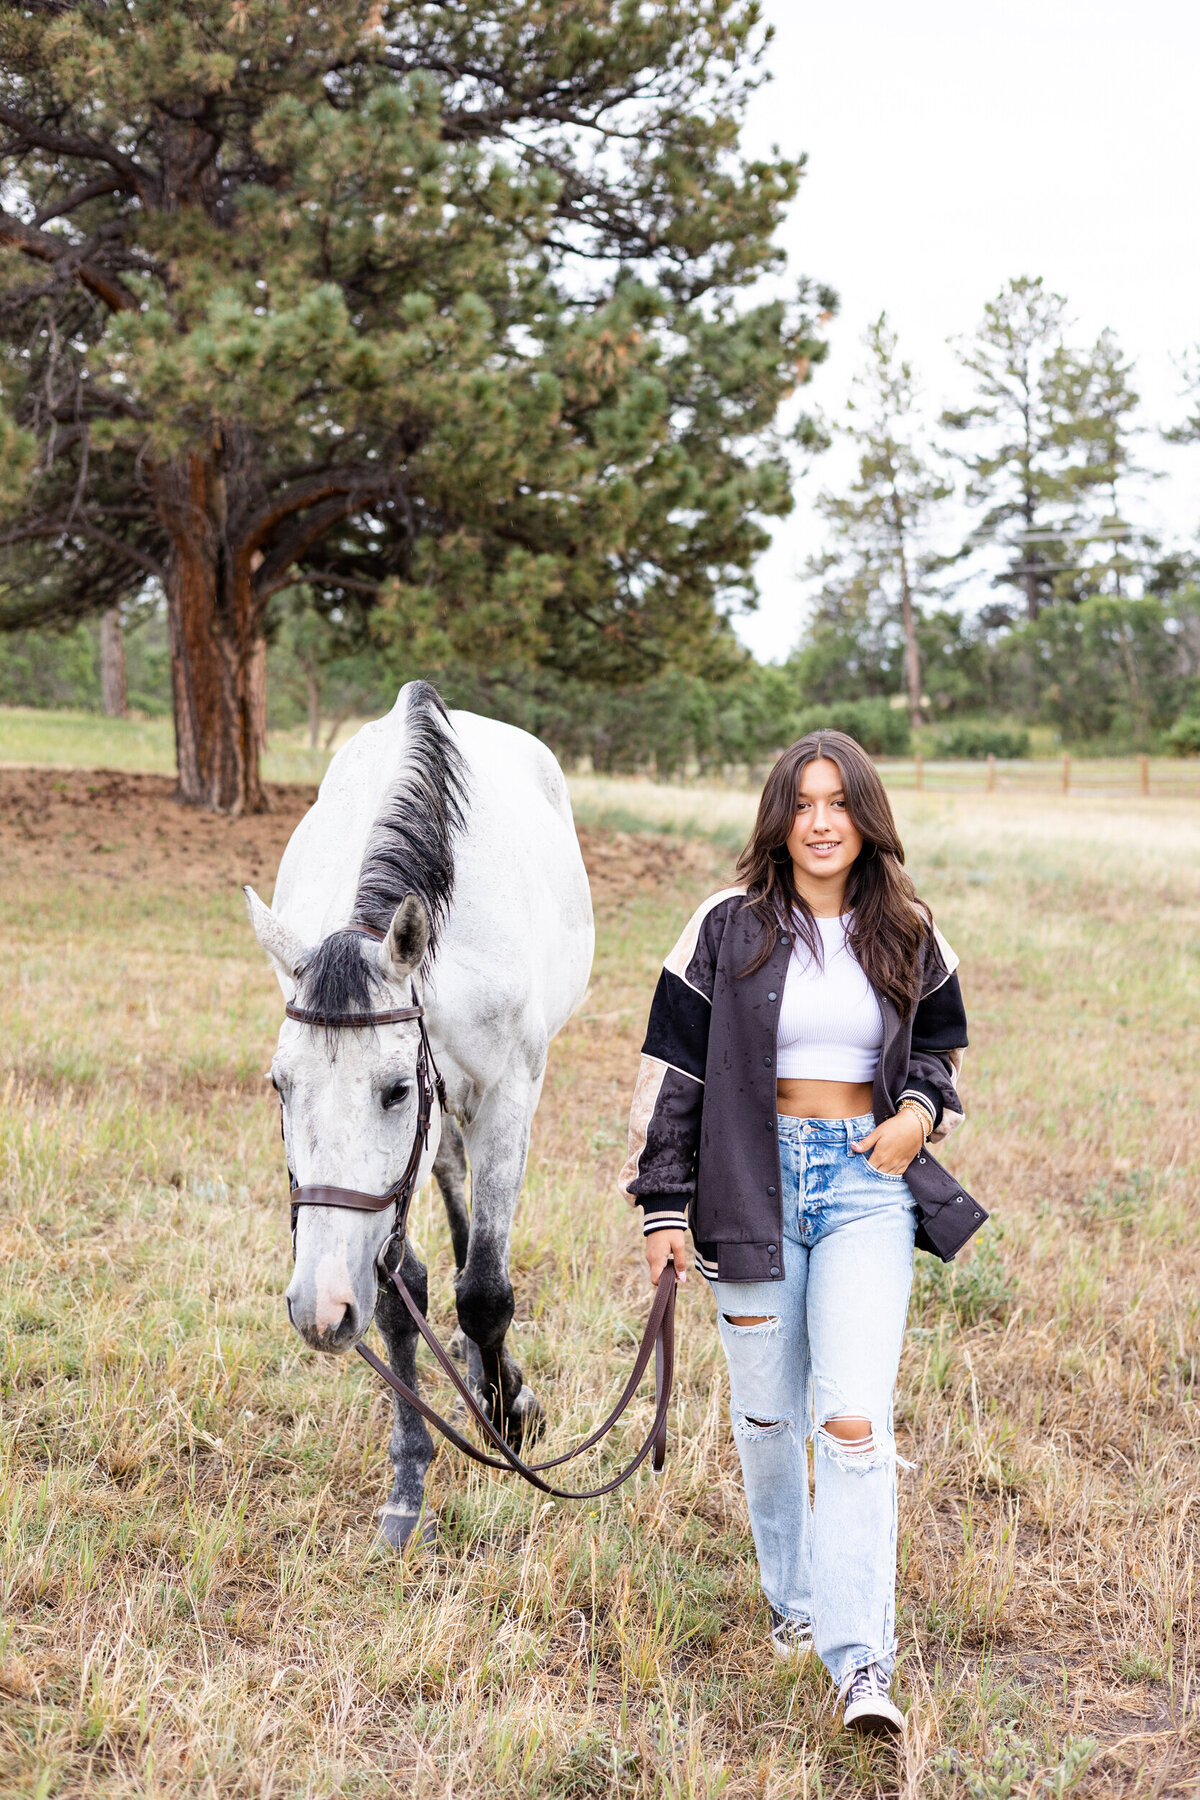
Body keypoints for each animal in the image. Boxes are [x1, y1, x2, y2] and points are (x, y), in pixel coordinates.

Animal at [244, 676, 597, 1548]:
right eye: (279, 1086)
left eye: (395, 1089)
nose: (318, 1309)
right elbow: (405, 1293)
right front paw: (408, 1484)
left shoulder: (505, 1095)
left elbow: (487, 1293)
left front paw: (510, 1413)